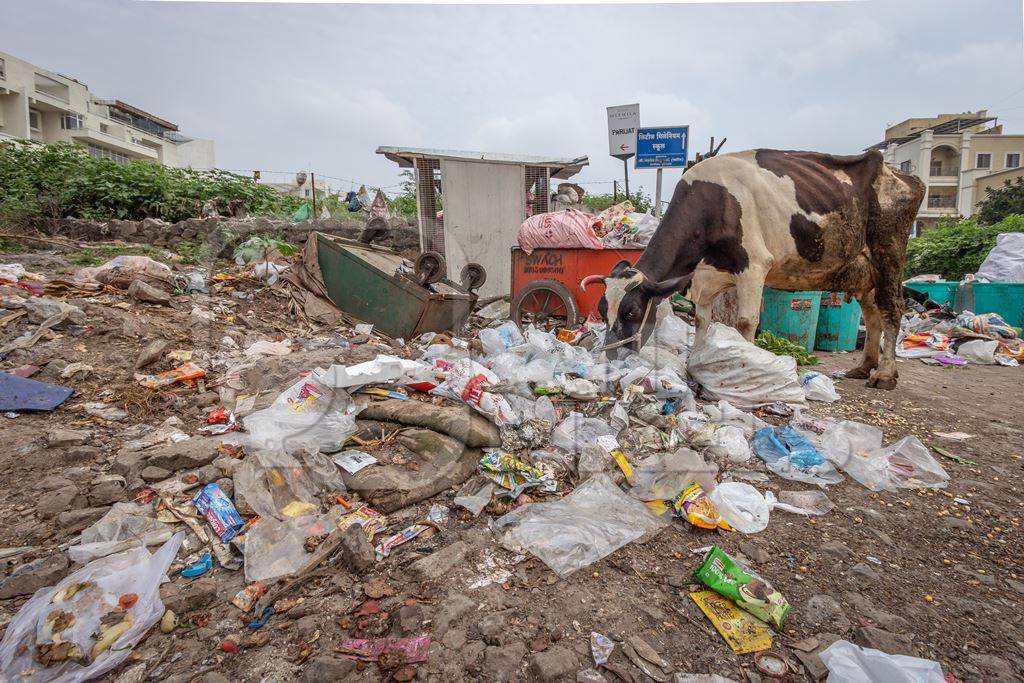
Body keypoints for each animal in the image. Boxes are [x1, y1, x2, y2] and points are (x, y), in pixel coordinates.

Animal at [585, 149, 929, 389]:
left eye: (631, 312)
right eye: (602, 310)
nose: (609, 357)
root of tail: (902, 174)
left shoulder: (753, 265)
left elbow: (746, 323)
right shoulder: (705, 279)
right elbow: (702, 321)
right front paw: (694, 365)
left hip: (889, 248)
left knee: (891, 309)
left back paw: (884, 374)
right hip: (862, 268)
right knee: (871, 313)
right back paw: (864, 366)